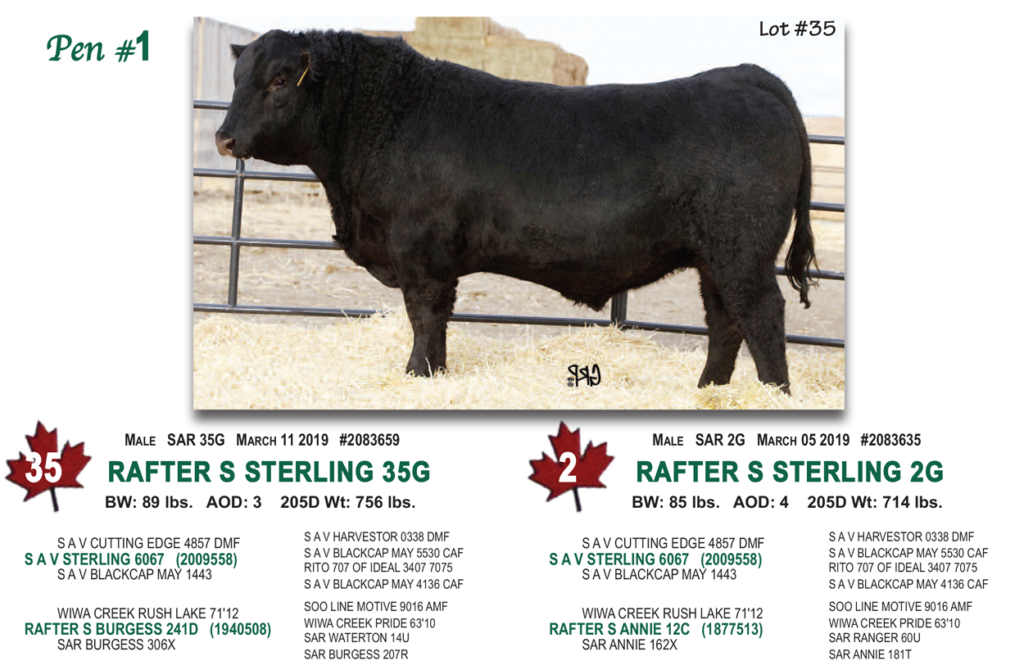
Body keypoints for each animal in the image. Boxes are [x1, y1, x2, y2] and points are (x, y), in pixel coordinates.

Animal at [215, 29, 817, 393]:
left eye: (278, 81)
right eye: (239, 78)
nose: (223, 137)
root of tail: (746, 75)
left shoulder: (420, 252)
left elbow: (424, 317)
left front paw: (418, 376)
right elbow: (435, 321)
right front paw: (432, 375)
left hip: (741, 248)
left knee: (761, 315)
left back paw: (772, 396)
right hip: (713, 254)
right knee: (724, 320)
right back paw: (708, 391)